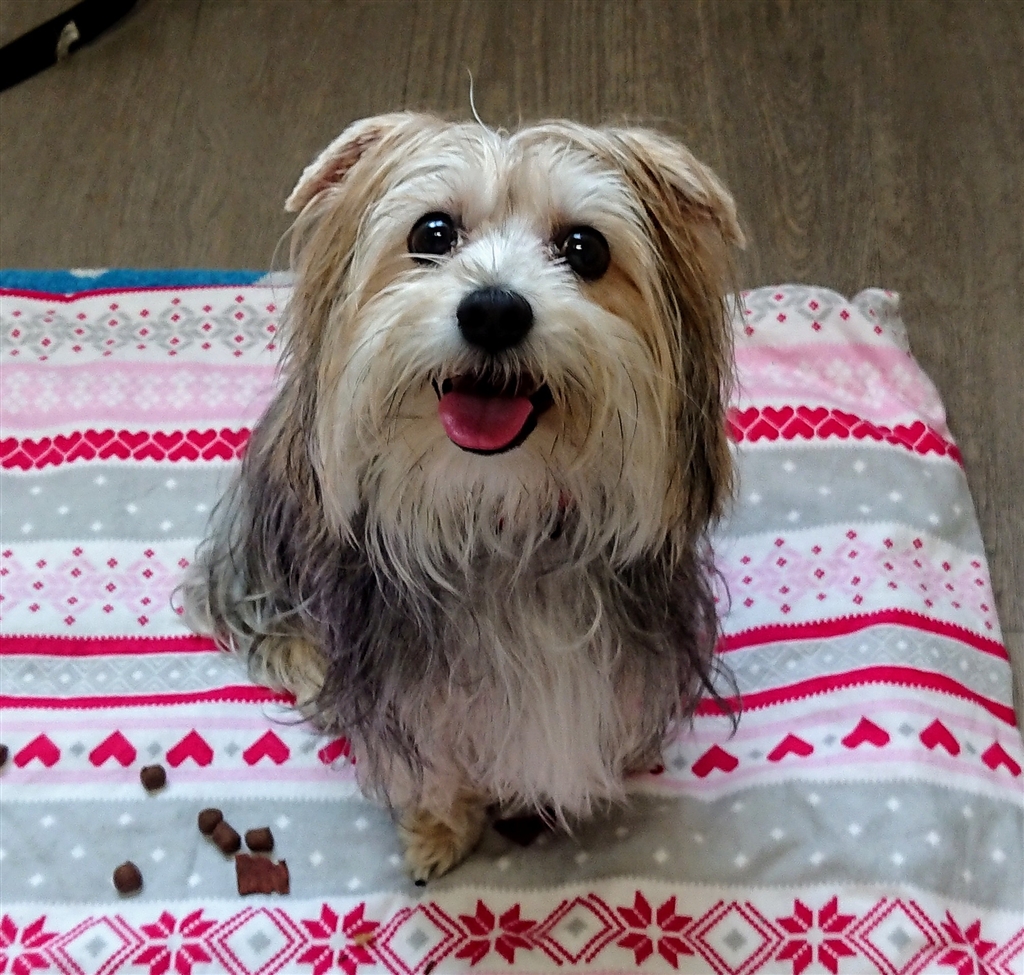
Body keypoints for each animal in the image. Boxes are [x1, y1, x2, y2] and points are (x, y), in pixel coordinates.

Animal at [181, 112, 743, 881]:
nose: (494, 310)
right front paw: (440, 829)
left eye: (585, 248)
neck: (500, 512)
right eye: (433, 232)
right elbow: (437, 768)